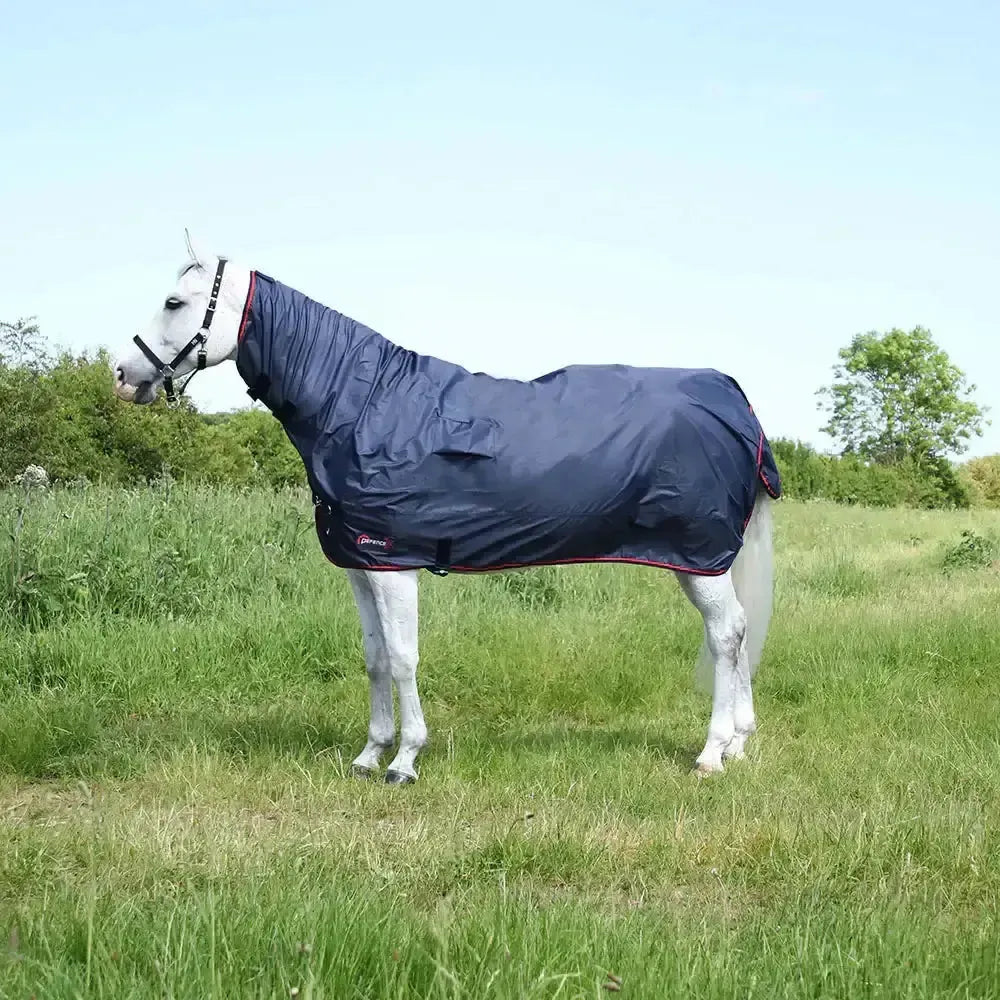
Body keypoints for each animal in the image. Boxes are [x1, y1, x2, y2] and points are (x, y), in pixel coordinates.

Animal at [112, 240, 781, 784]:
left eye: (173, 302)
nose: (122, 372)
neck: (361, 404)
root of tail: (735, 400)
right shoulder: (362, 567)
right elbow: (375, 658)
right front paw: (368, 754)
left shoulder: (394, 566)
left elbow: (404, 658)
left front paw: (405, 760)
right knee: (742, 631)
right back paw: (741, 743)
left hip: (698, 558)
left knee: (727, 634)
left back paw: (712, 753)